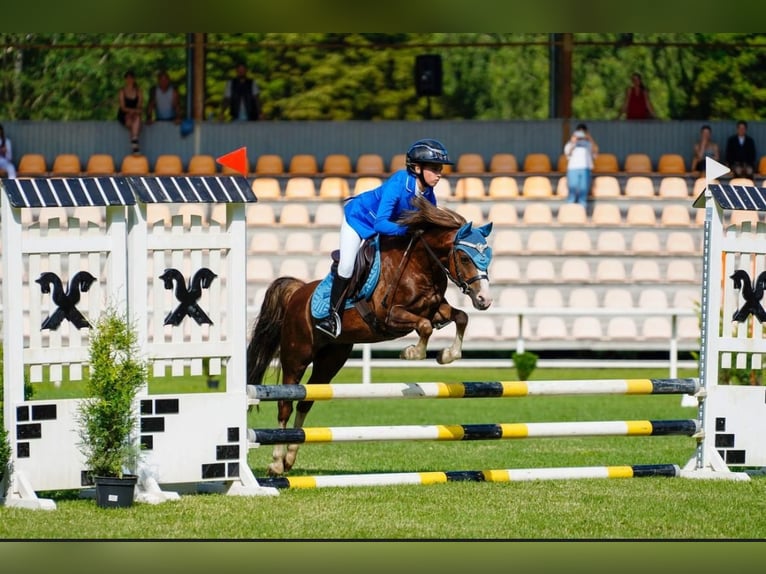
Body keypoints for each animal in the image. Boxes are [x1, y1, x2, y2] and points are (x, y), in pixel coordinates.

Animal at [246, 196, 494, 476]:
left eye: (488, 256)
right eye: (464, 257)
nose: (484, 300)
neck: (420, 264)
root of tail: (298, 292)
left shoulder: (436, 309)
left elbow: (460, 318)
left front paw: (447, 355)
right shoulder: (391, 316)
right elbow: (424, 327)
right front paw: (411, 353)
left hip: (330, 360)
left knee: (306, 401)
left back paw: (289, 458)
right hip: (296, 356)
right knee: (285, 404)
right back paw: (276, 463)